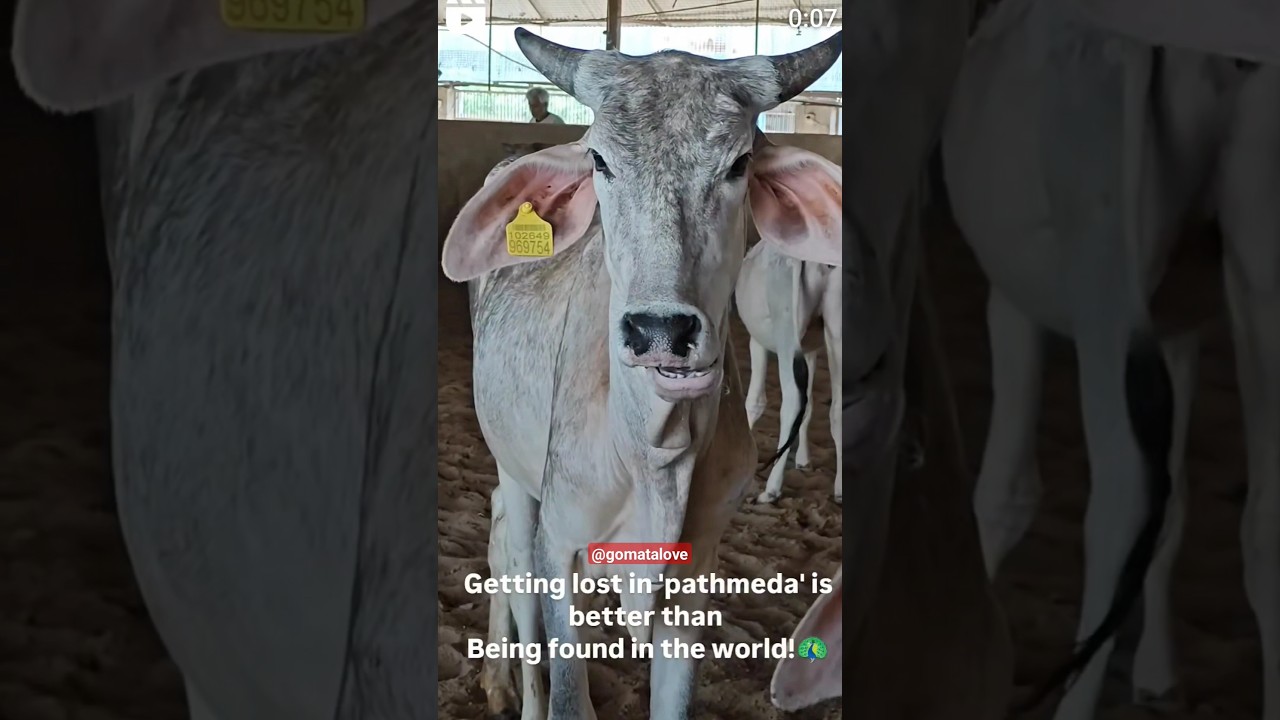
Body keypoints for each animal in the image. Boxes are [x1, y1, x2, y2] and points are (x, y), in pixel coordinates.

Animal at [735, 234, 842, 505]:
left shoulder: (757, 340)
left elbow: (755, 401)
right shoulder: (810, 349)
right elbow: (810, 405)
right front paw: (803, 460)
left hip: (785, 327)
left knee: (792, 401)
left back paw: (771, 489)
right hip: (836, 332)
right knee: (835, 407)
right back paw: (840, 490)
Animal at [943, 0, 1280, 716]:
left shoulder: (1010, 298)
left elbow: (1004, 492)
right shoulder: (1177, 327)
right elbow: (1176, 504)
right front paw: (1158, 672)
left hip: (1101, 256)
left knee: (1122, 492)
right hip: (1260, 267)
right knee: (1260, 518)